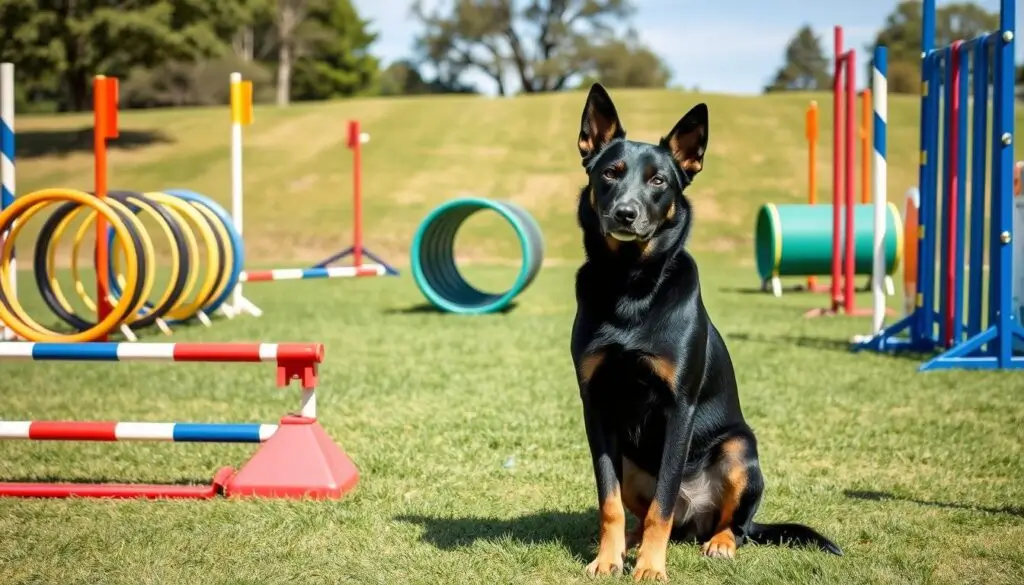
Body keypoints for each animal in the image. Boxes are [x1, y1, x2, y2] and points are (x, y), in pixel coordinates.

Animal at [569, 84, 839, 581]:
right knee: (647, 512)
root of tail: (694, 516)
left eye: (659, 181)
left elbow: (661, 507)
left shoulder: (679, 406)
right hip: (634, 463)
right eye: (610, 173)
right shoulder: (596, 406)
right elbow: (609, 501)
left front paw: (650, 568)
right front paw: (608, 558)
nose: (625, 213)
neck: (631, 283)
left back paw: (719, 543)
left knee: (734, 524)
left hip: (738, 449)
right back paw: (633, 541)